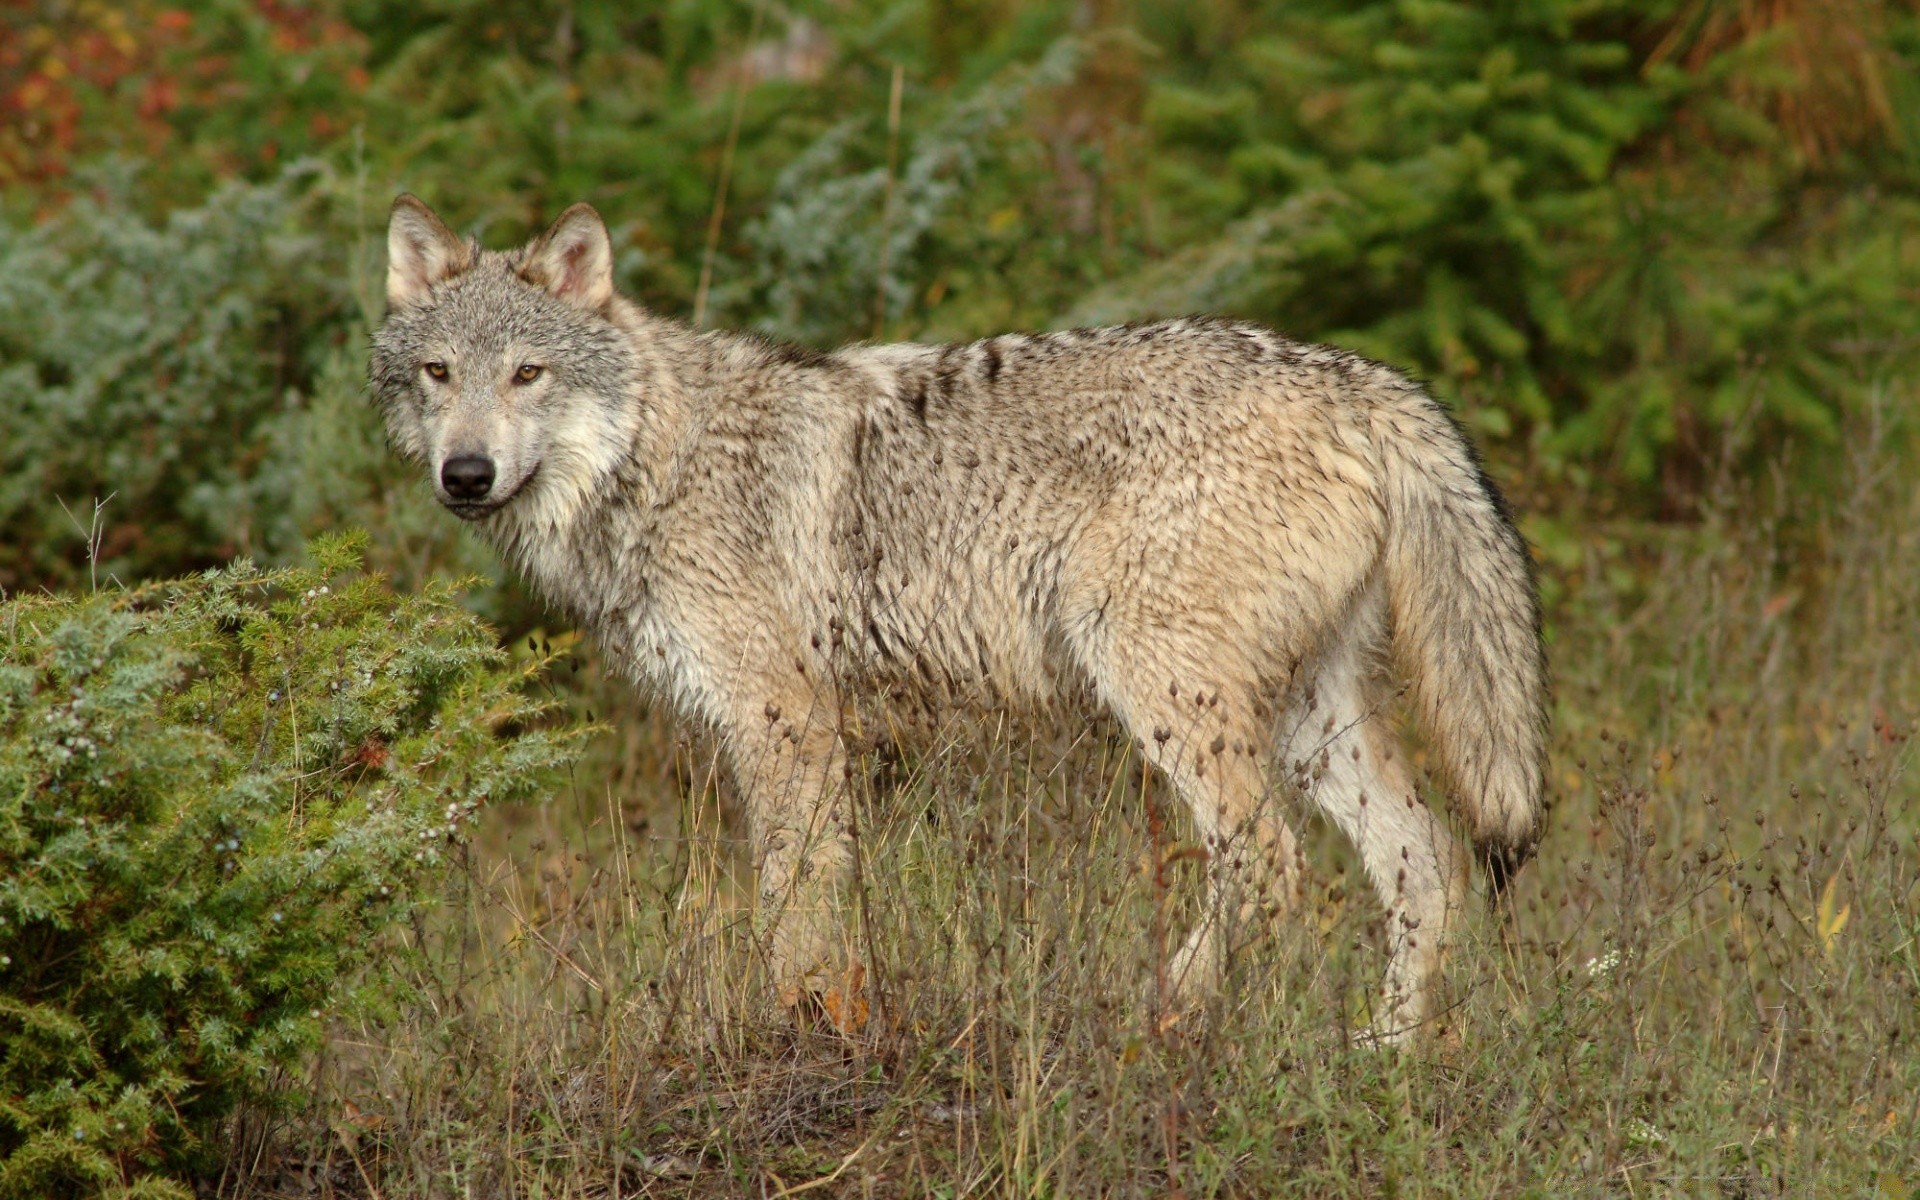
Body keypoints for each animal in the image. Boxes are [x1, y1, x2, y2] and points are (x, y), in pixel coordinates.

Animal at [370, 196, 1543, 1036]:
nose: (465, 475)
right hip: (1310, 724)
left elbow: (791, 909)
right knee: (1429, 864)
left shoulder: (786, 724)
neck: (657, 460)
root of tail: (1363, 379)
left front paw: (791, 1031)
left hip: (1165, 691)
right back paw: (1382, 1070)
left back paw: (1167, 1015)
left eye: (529, 373)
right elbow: (828, 910)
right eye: (439, 374)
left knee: (1269, 865)